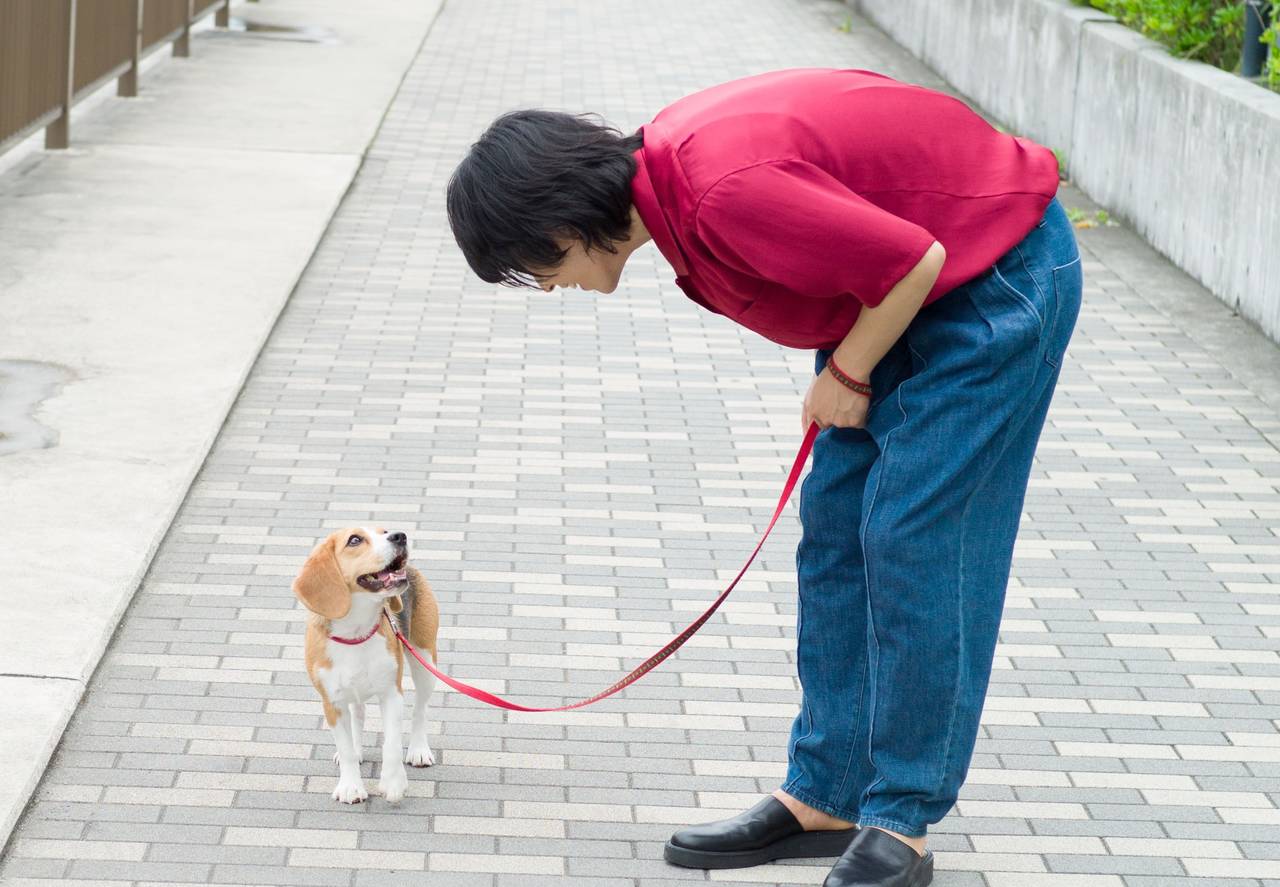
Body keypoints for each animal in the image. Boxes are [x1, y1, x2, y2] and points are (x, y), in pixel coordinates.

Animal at [293, 524, 442, 803]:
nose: (400, 536)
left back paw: (418, 750)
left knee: (420, 710)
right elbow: (346, 748)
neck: (356, 632)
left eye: (384, 531)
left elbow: (391, 744)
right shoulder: (332, 702)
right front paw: (351, 786)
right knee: (358, 716)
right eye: (354, 540)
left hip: (425, 660)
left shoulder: (392, 694)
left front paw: (393, 783)